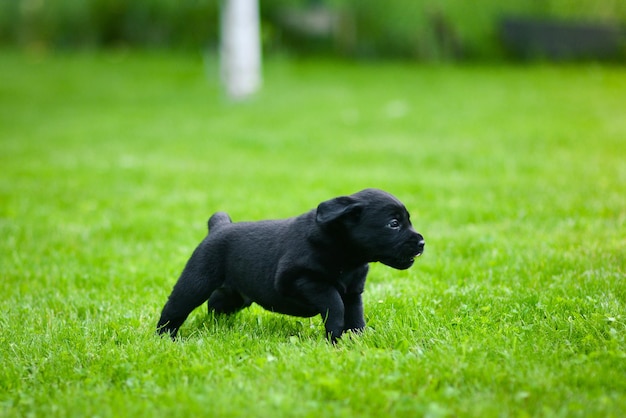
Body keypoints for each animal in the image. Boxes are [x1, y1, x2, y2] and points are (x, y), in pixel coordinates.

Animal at [157, 188, 424, 342]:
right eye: (393, 224)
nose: (422, 242)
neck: (346, 255)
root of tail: (219, 227)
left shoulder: (353, 292)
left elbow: (355, 315)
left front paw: (355, 340)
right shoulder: (301, 280)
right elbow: (334, 302)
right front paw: (335, 337)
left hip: (236, 295)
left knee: (216, 303)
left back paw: (217, 325)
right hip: (195, 282)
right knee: (175, 309)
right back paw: (164, 338)